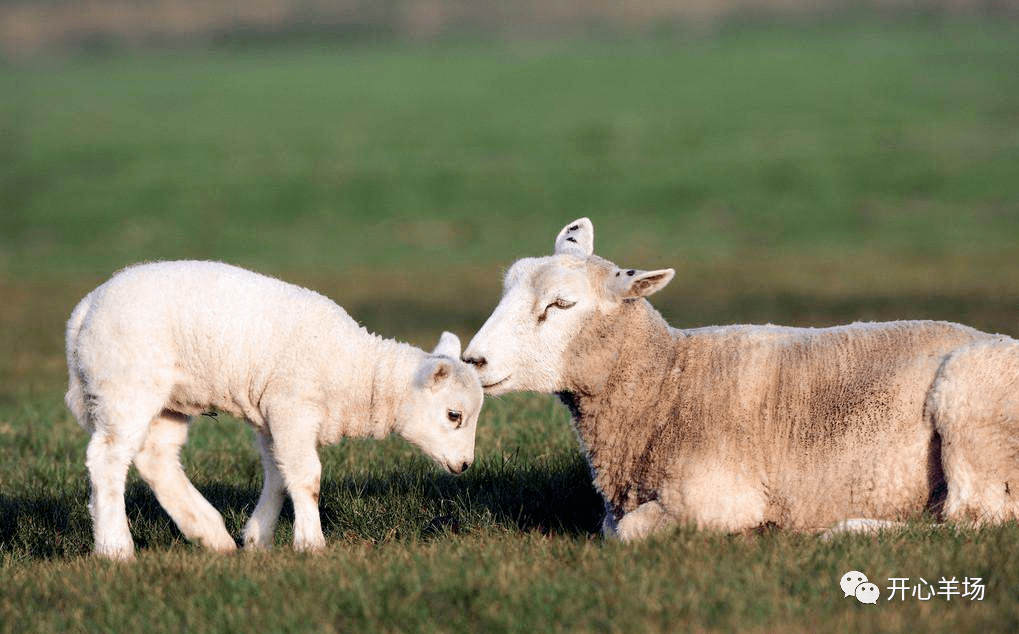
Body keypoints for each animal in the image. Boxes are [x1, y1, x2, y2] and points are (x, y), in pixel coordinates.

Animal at [65, 259, 483, 562]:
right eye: (454, 415)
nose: (465, 465)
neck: (355, 371)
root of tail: (84, 310)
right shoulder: (292, 406)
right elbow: (307, 477)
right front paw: (311, 544)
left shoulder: (272, 418)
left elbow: (280, 475)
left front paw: (258, 539)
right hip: (126, 386)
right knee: (107, 459)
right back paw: (115, 548)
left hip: (167, 400)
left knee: (157, 458)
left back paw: (211, 535)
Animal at [462, 217, 1019, 542]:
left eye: (561, 305)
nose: (473, 361)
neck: (667, 383)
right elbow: (610, 526)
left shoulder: (716, 499)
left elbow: (627, 533)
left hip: (972, 404)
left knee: (975, 518)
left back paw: (847, 531)